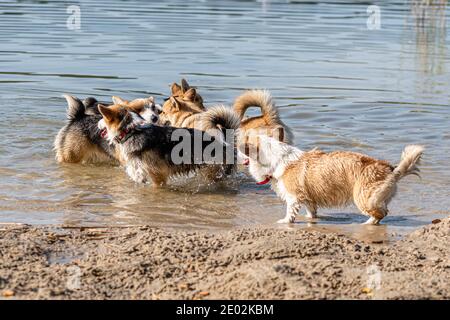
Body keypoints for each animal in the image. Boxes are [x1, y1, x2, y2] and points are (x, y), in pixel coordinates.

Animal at [96, 104, 236, 186]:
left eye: (102, 117)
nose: (97, 124)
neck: (131, 130)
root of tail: (225, 143)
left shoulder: (157, 175)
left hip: (212, 171)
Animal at [241, 135, 424, 225]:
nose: (237, 155)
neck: (277, 158)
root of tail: (391, 170)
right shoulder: (308, 199)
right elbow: (311, 211)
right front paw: (310, 219)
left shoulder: (293, 197)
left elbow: (290, 213)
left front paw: (285, 222)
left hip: (363, 198)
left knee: (381, 213)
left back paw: (365, 224)